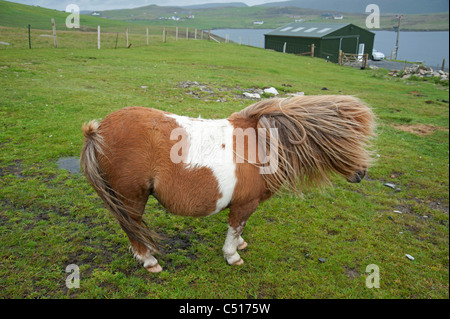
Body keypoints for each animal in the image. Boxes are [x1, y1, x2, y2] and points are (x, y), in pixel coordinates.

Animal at [81, 95, 376, 272]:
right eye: (350, 140)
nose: (362, 174)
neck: (264, 143)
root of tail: (98, 132)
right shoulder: (245, 204)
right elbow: (235, 228)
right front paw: (232, 255)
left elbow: (238, 230)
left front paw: (240, 245)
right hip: (131, 197)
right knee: (131, 227)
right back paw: (149, 260)